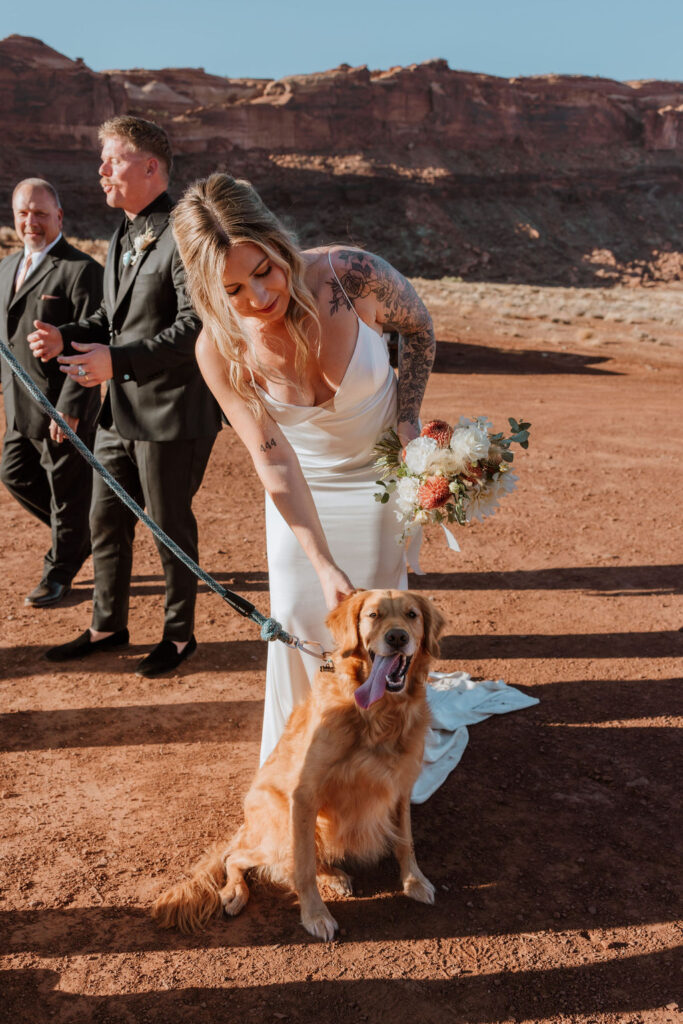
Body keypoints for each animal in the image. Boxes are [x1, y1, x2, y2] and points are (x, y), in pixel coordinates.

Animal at [152, 589, 446, 937]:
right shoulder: (304, 795)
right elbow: (302, 866)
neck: (379, 716)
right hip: (284, 823)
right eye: (373, 615)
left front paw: (414, 882)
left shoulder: (400, 787)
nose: (397, 637)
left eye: (412, 615)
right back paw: (239, 891)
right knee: (240, 858)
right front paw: (315, 914)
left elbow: (405, 843)